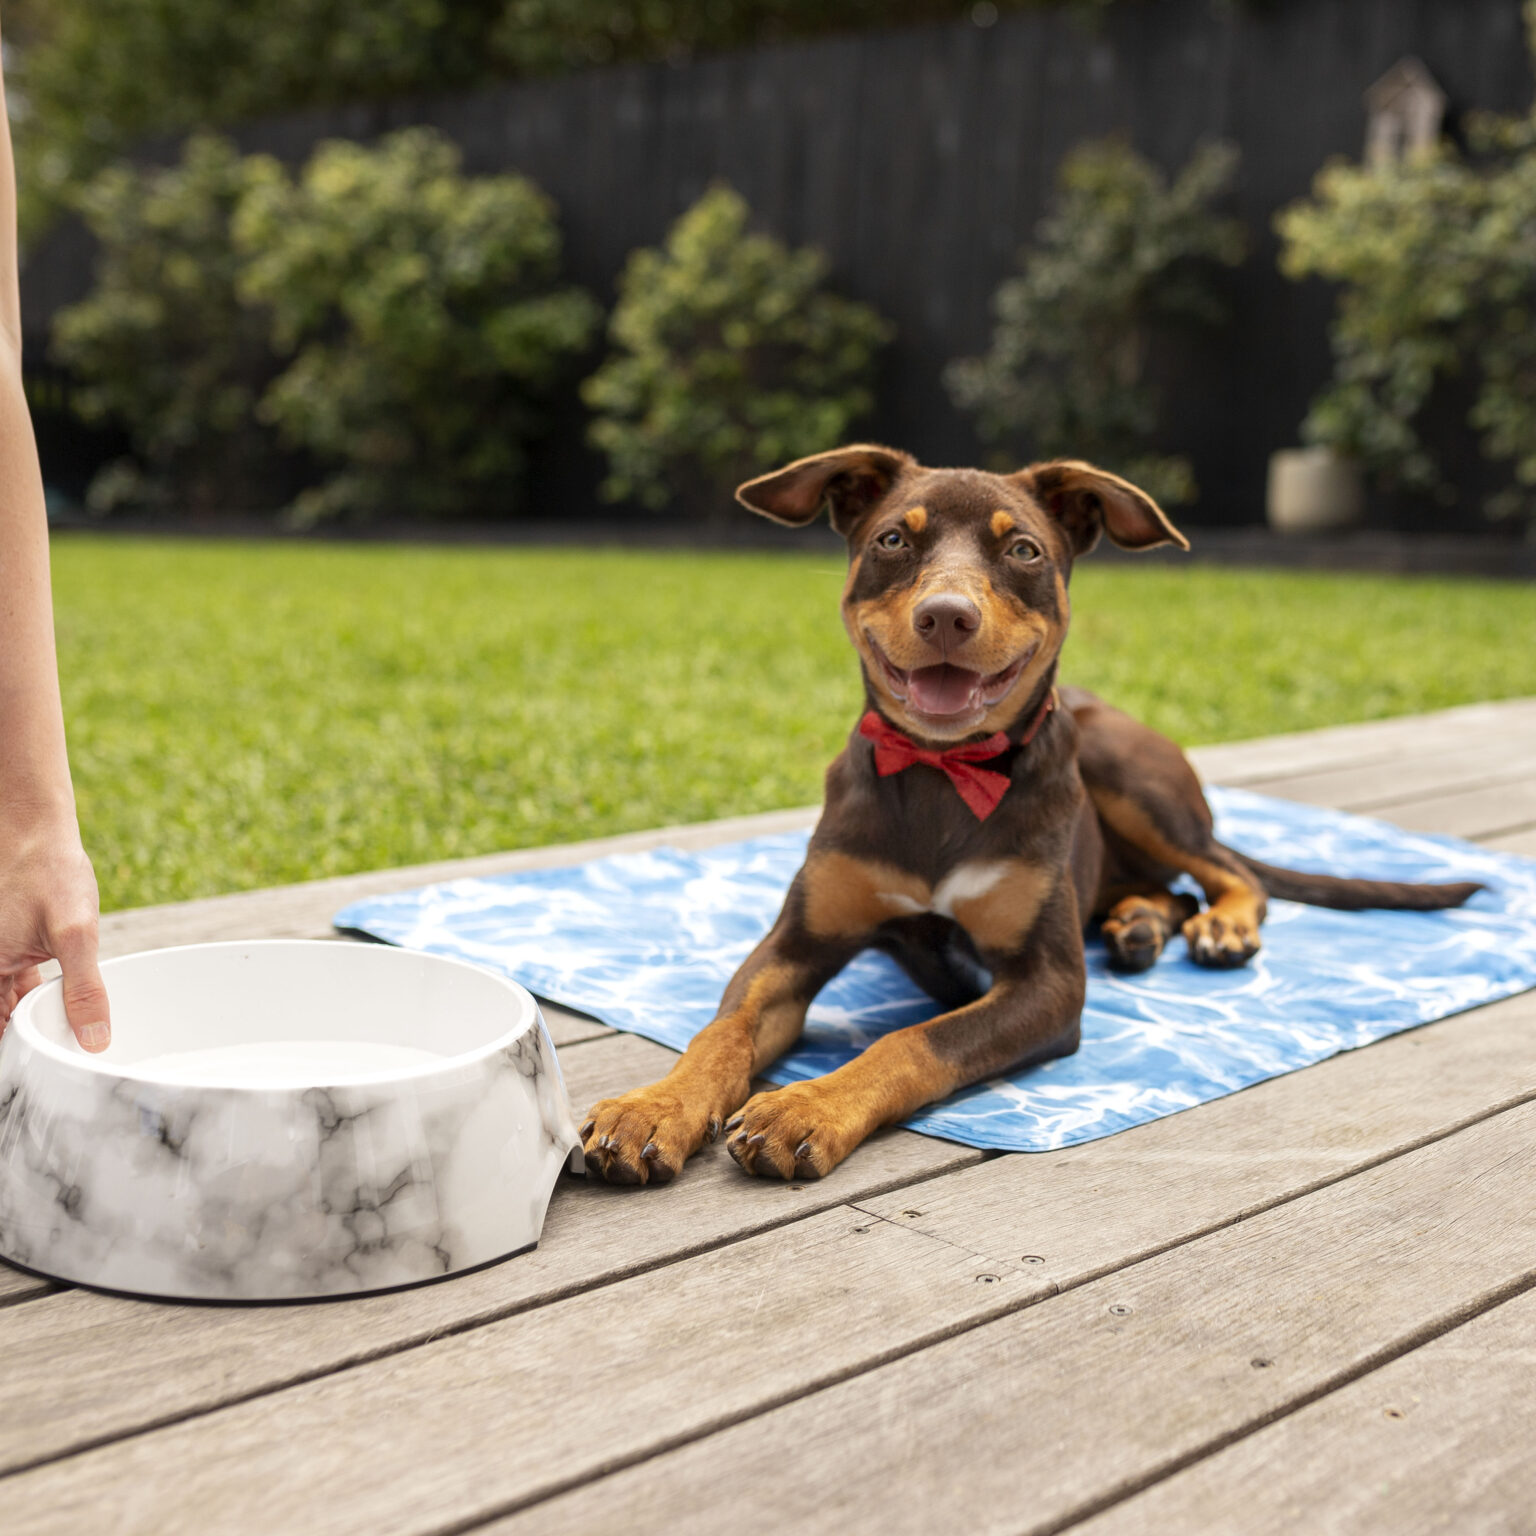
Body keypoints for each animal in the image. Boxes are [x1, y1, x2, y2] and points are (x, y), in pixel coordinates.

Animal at [577, 445, 1474, 1185]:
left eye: (1024, 551)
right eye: (893, 541)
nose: (946, 615)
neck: (943, 773)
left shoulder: (1048, 984)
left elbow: (916, 1040)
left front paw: (808, 1106)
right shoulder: (797, 943)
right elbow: (721, 1030)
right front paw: (654, 1107)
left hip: (1124, 771)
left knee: (1226, 869)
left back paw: (1217, 927)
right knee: (1169, 888)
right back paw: (1140, 926)